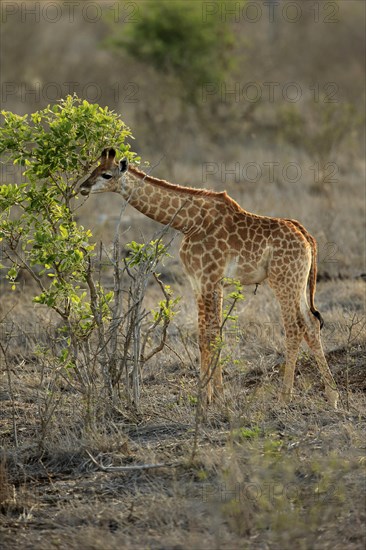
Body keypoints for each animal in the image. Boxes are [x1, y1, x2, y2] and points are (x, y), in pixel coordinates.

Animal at [78, 149, 338, 408]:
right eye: (93, 168)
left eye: (106, 174)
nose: (83, 187)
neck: (188, 222)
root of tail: (307, 237)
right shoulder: (199, 281)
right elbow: (208, 333)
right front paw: (213, 395)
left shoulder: (209, 278)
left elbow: (210, 335)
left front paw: (208, 396)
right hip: (299, 282)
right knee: (311, 325)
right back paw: (332, 396)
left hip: (283, 281)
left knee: (294, 327)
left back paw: (285, 397)